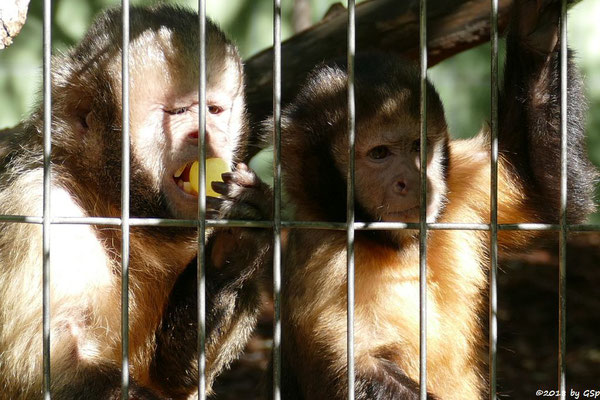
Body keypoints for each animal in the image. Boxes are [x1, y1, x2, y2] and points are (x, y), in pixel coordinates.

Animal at [0, 4, 268, 398]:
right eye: (178, 113)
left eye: (215, 111)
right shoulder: (37, 204)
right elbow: (43, 369)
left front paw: (233, 249)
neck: (108, 202)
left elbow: (172, 376)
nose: (204, 133)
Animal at [270, 0, 596, 400]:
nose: (413, 180)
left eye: (418, 147)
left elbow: (548, 198)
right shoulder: (321, 260)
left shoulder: (464, 185)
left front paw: (537, 31)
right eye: (380, 153)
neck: (394, 244)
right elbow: (354, 370)